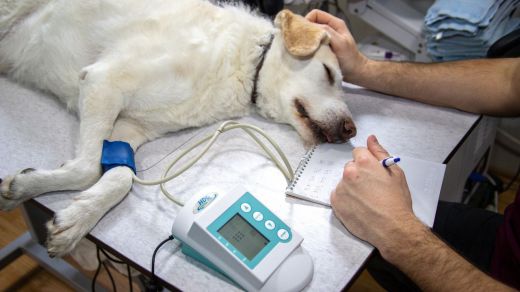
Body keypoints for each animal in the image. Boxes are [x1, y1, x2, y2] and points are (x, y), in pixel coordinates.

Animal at [0, 0, 358, 256]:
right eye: (328, 73)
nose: (351, 130)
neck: (244, 64)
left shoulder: (129, 128)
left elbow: (120, 177)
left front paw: (73, 217)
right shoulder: (104, 81)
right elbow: (87, 168)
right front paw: (33, 189)